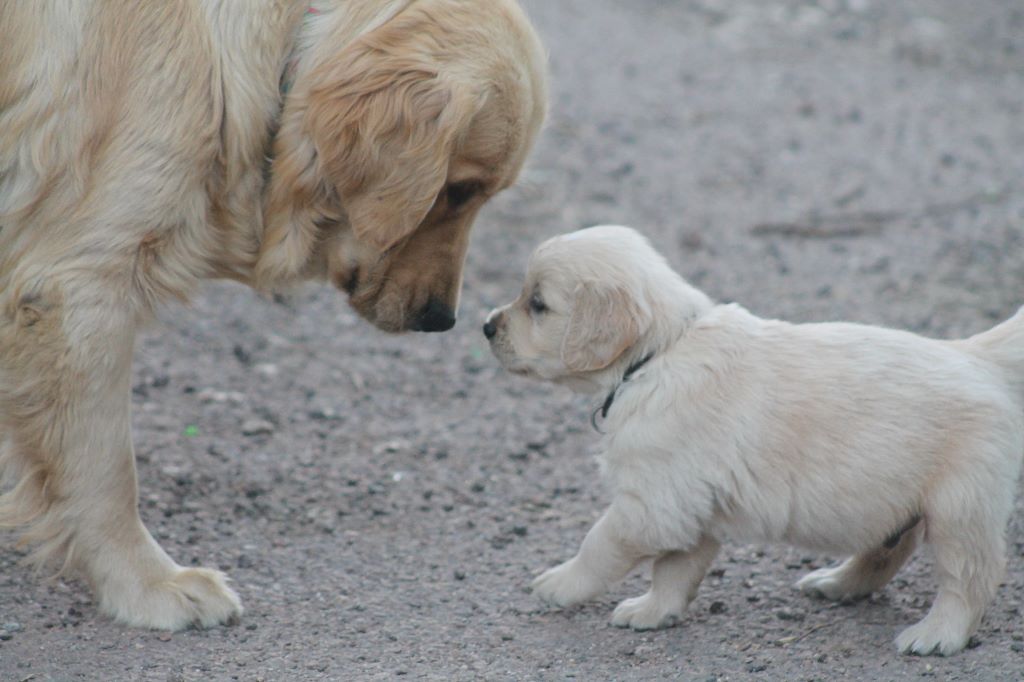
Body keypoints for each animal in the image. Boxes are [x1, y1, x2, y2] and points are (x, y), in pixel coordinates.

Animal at [481, 227, 1024, 655]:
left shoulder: (651, 503)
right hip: (896, 500)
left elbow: (599, 543)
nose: (486, 325)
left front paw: (559, 584)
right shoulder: (689, 507)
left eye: (537, 304)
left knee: (972, 577)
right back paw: (835, 583)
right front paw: (654, 611)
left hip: (959, 507)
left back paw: (936, 635)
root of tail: (978, 357)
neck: (659, 354)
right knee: (888, 550)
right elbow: (675, 569)